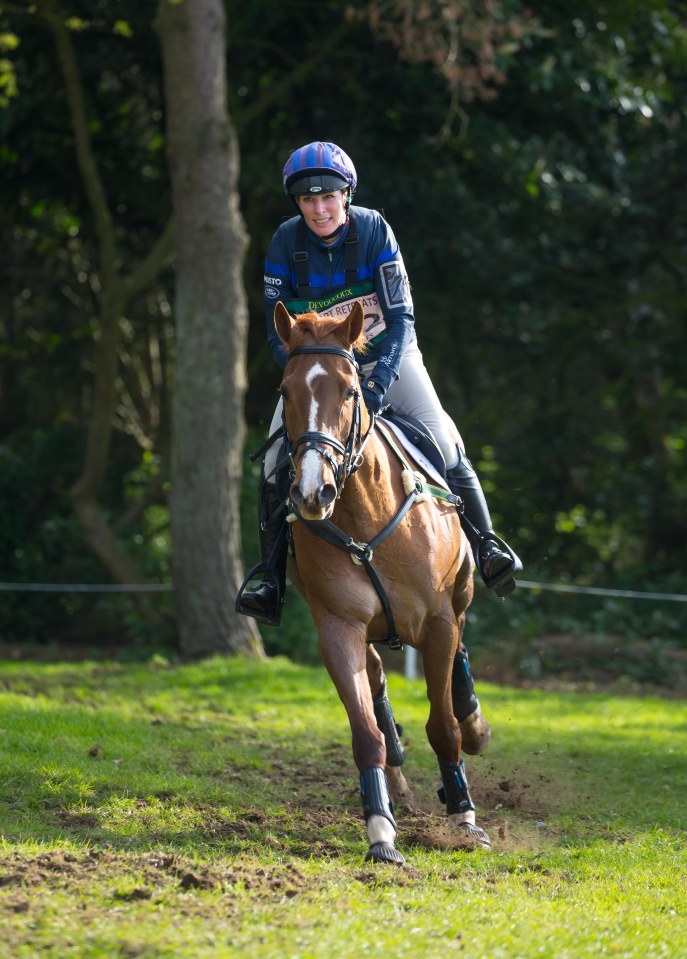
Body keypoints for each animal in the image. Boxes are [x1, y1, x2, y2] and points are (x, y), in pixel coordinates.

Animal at [272, 300, 492, 864]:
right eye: (286, 391)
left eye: (351, 391)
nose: (313, 492)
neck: (365, 516)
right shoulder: (339, 627)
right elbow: (364, 729)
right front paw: (381, 831)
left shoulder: (437, 623)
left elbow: (443, 726)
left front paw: (464, 817)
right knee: (376, 681)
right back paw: (395, 779)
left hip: (460, 596)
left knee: (460, 660)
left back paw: (475, 725)